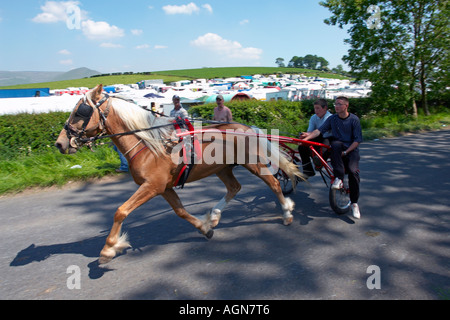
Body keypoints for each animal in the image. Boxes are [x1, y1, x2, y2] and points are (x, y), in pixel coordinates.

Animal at [54, 84, 304, 262]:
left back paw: (286, 213)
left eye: (80, 112)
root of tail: (246, 127)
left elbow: (120, 211)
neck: (150, 144)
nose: (60, 143)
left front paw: (108, 249)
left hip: (254, 164)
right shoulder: (163, 187)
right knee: (235, 188)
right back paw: (214, 215)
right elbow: (181, 211)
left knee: (273, 184)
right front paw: (204, 227)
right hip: (222, 168)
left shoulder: (152, 186)